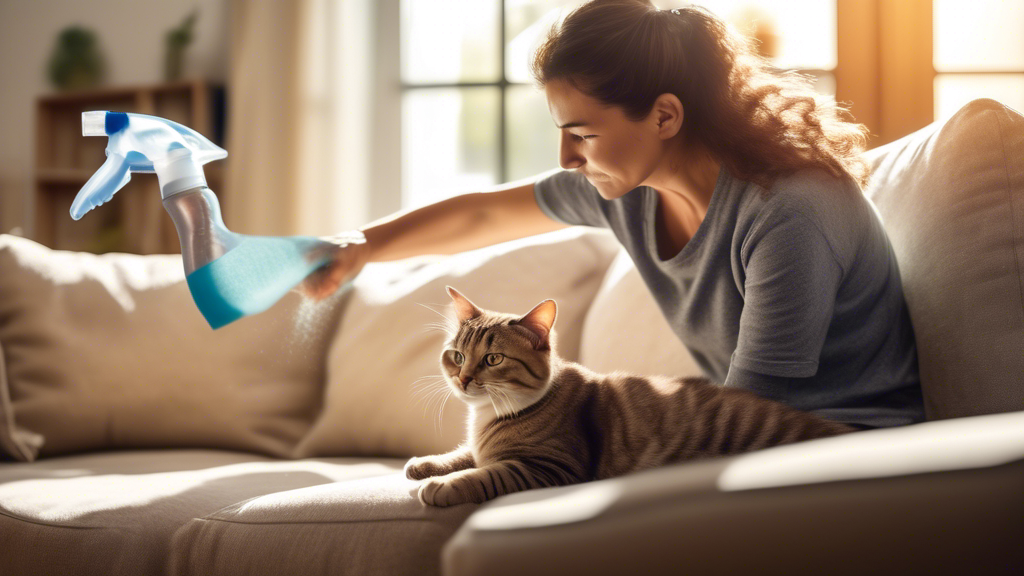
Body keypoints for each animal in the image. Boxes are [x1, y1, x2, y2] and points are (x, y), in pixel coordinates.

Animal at [407, 284, 856, 504]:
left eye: (494, 359)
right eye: (457, 355)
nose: (463, 379)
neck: (491, 414)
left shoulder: (550, 467)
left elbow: (487, 472)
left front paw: (444, 485)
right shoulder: (482, 448)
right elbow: (465, 454)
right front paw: (426, 464)